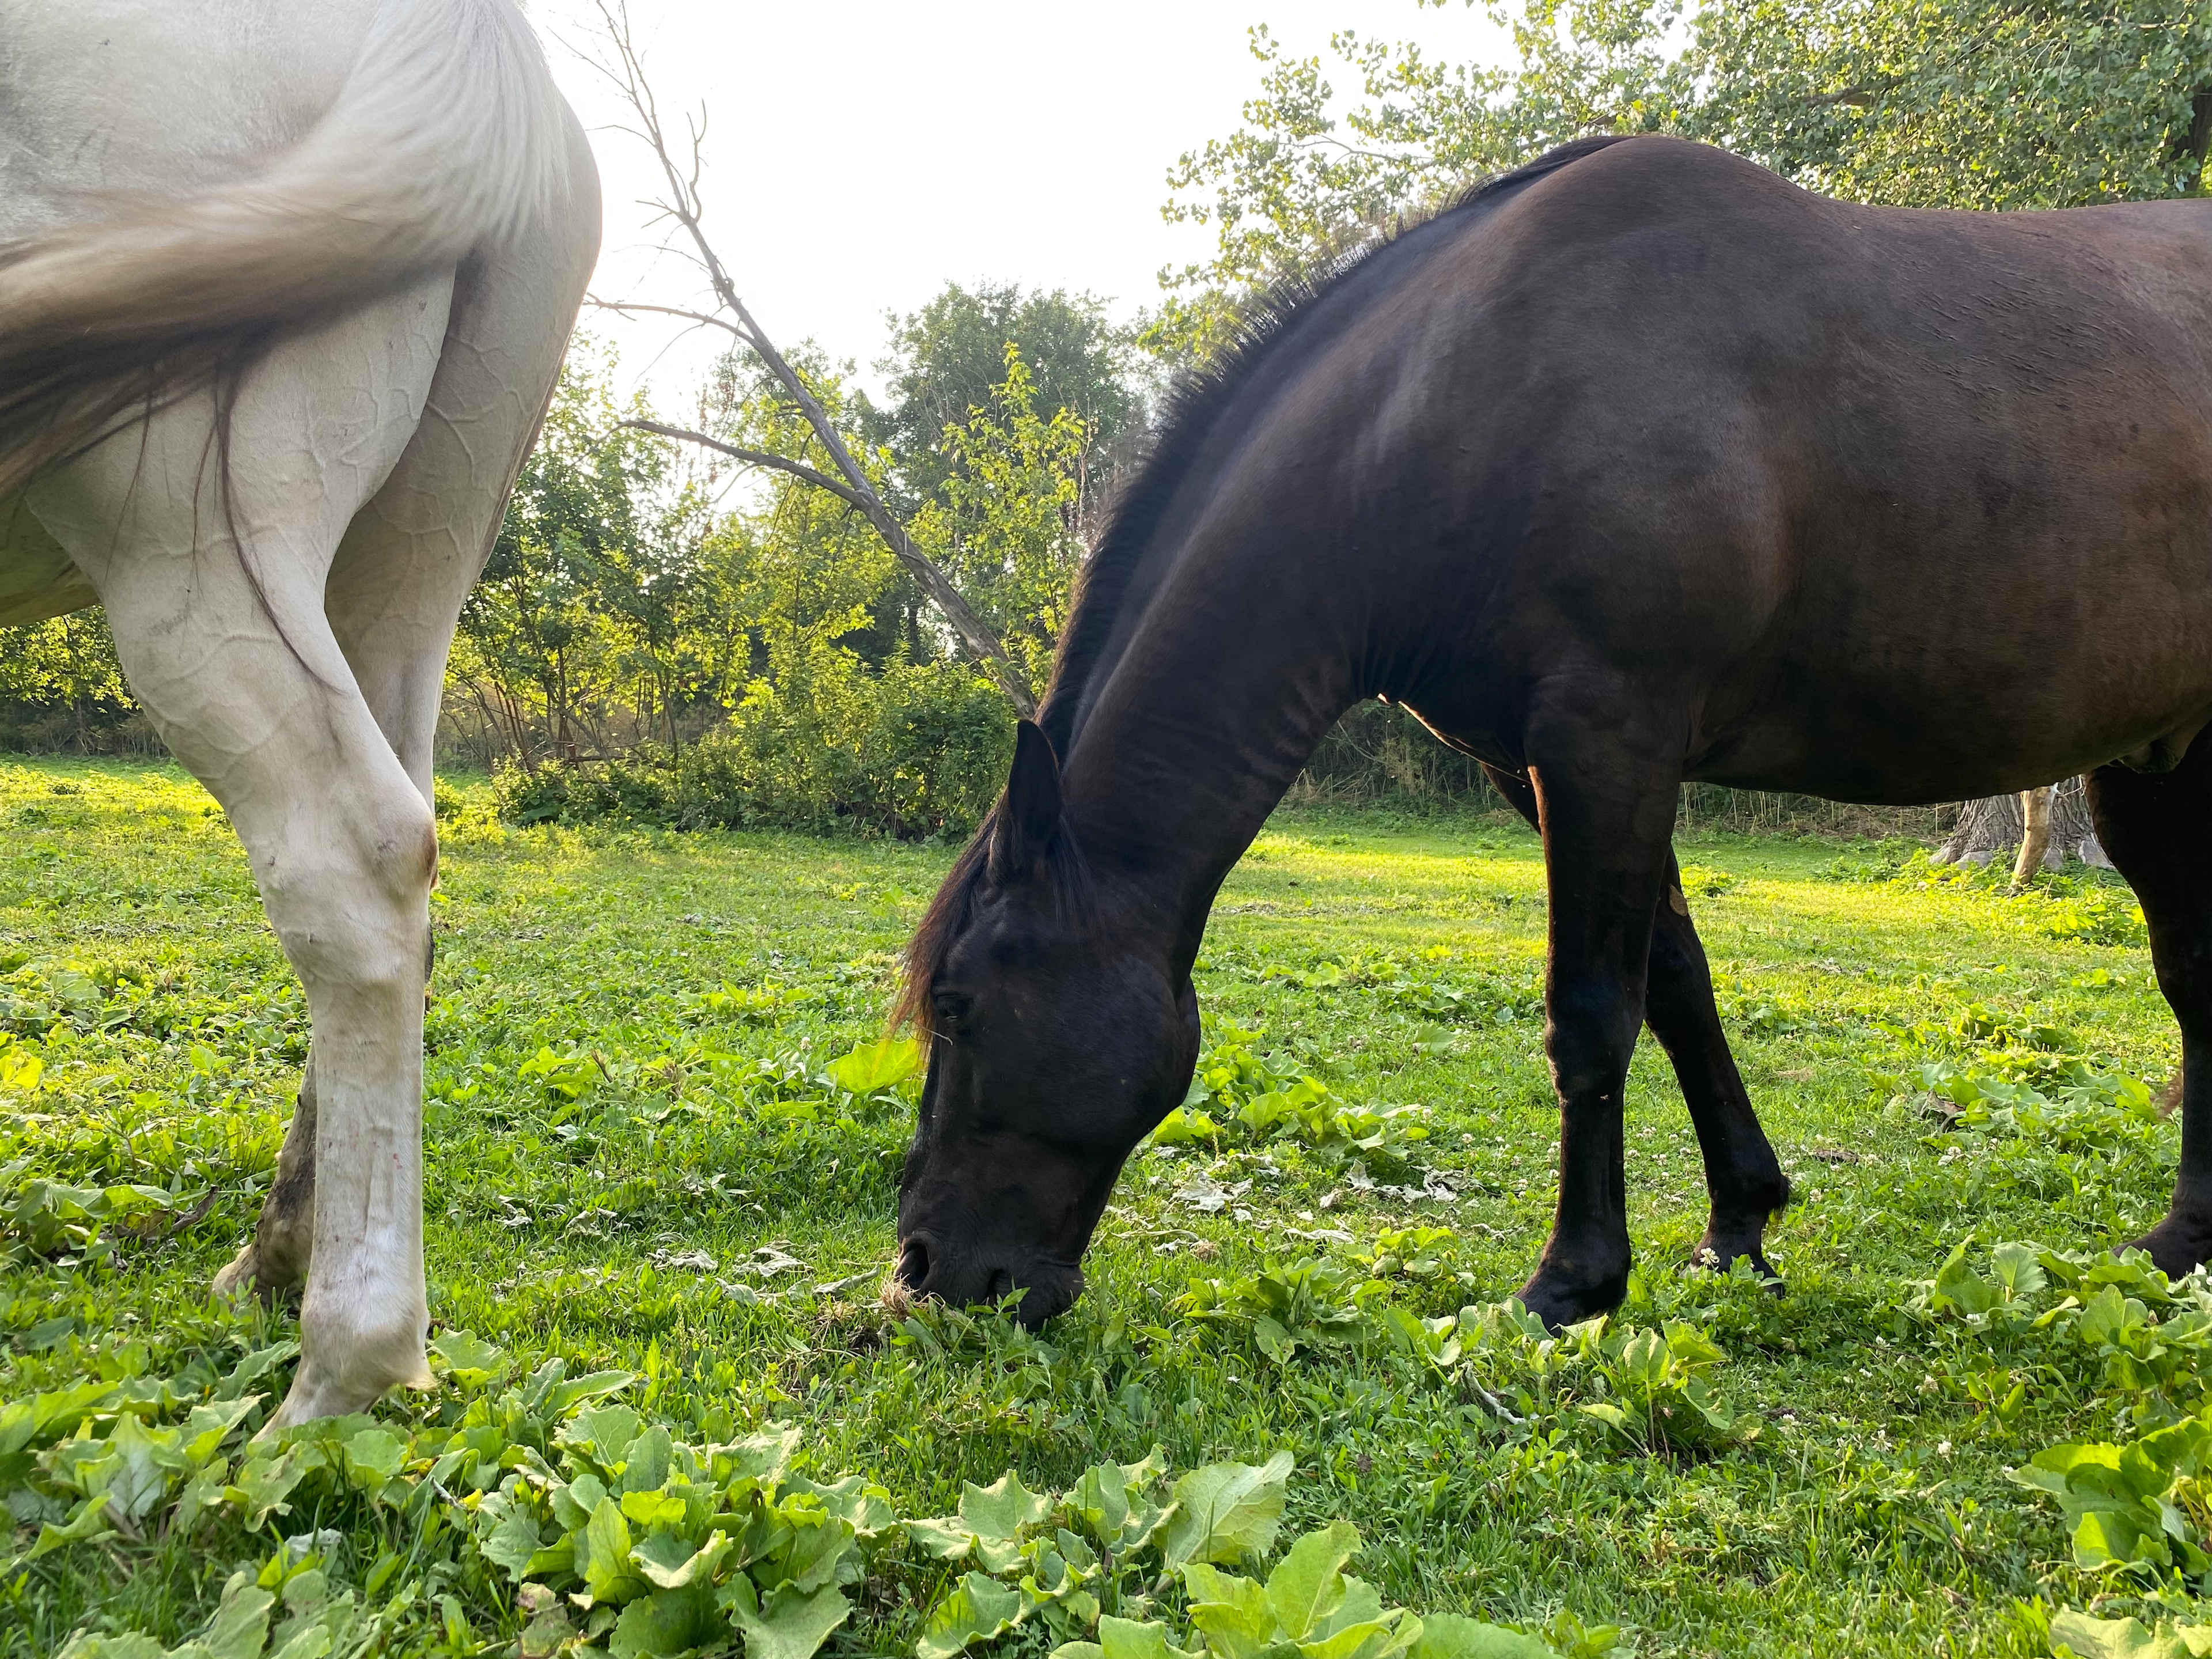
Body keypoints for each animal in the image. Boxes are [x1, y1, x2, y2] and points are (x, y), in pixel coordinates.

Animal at [0, 0, 598, 1426]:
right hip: (406, 567)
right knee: (410, 861)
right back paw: (274, 1261)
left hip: (188, 550)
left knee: (351, 858)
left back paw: (343, 1369)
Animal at [891, 134, 2212, 1331]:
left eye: (957, 1004)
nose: (926, 1272)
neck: (1471, 401)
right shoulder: (1543, 766)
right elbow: (1676, 983)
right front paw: (1739, 1222)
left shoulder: (1608, 739)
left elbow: (1589, 1013)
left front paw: (1573, 1283)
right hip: (2159, 761)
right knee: (2192, 979)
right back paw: (2180, 1247)